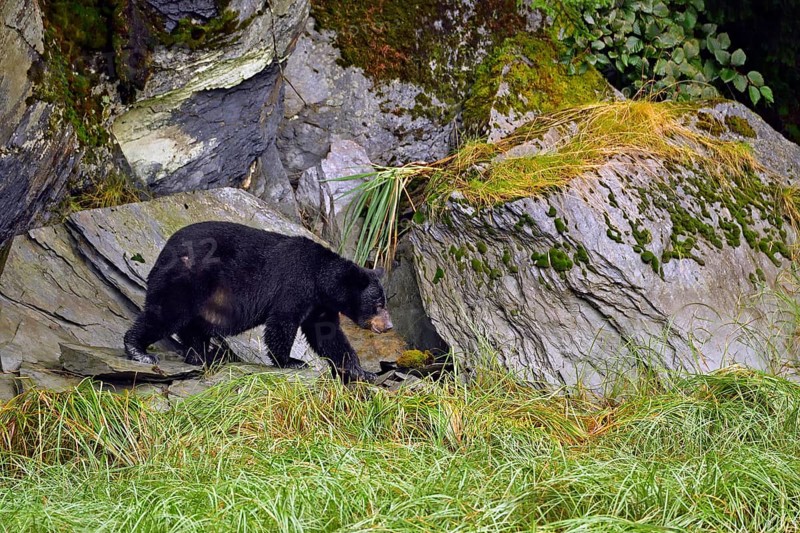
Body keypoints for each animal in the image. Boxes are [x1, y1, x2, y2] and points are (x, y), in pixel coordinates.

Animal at [123, 221, 392, 382]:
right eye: (378, 304)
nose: (388, 326)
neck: (321, 278)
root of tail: (164, 251)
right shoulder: (296, 284)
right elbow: (282, 322)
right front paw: (292, 361)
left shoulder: (320, 305)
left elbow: (327, 334)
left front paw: (362, 371)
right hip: (188, 277)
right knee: (167, 312)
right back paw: (139, 350)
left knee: (192, 326)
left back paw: (201, 356)